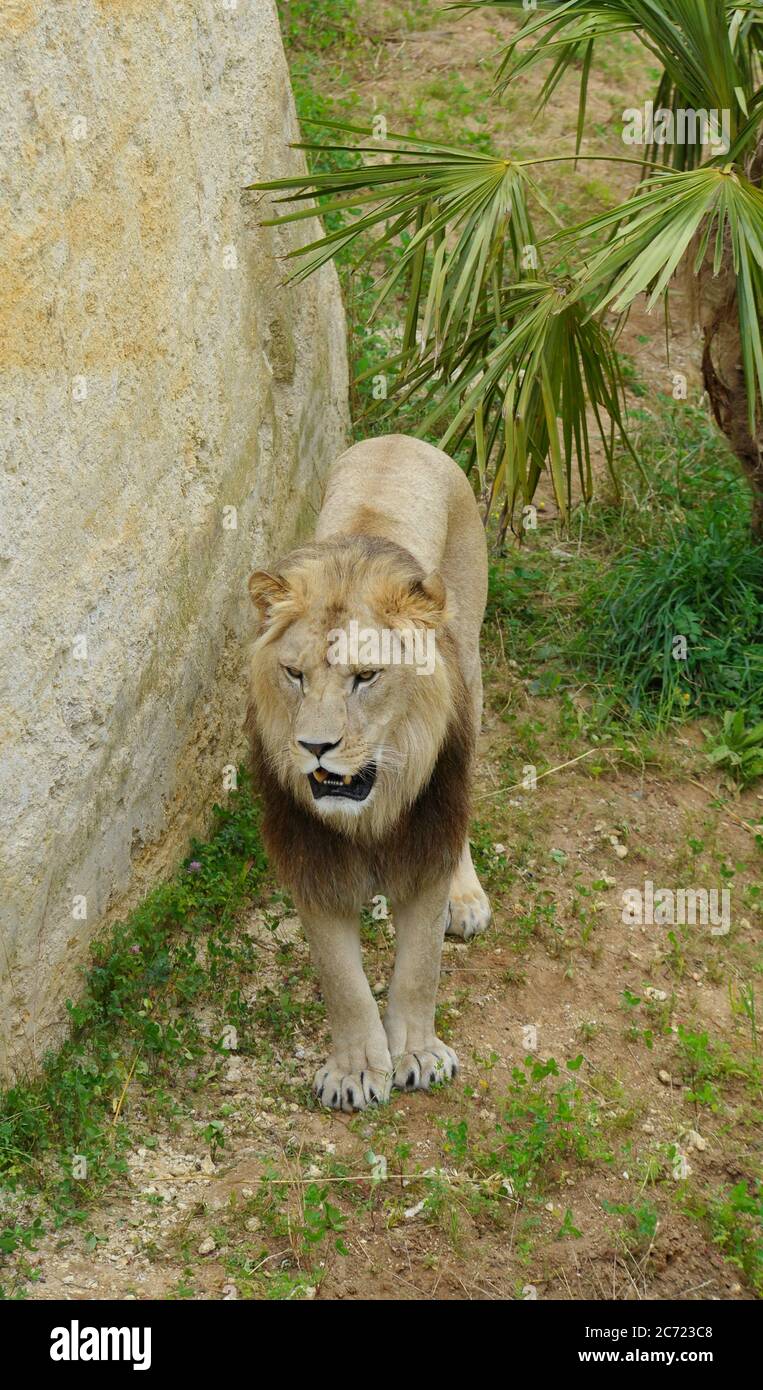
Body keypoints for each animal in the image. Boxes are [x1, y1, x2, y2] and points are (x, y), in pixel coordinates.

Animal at [247, 430, 491, 1106]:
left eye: (366, 677)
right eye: (294, 674)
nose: (315, 746)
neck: (374, 804)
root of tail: (400, 438)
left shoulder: (427, 840)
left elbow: (419, 969)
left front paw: (417, 1055)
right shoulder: (312, 861)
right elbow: (341, 980)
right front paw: (355, 1069)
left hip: (473, 669)